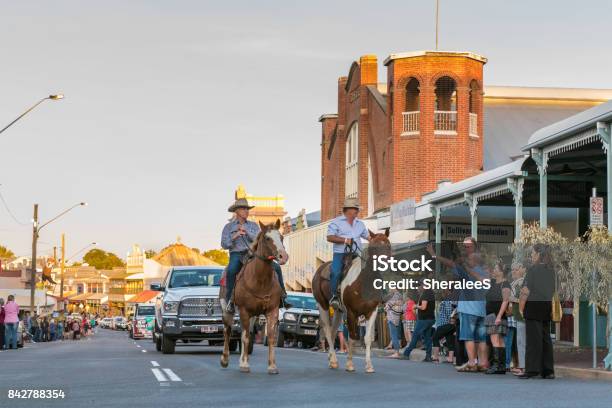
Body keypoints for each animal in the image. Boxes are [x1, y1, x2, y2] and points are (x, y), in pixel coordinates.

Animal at [219, 218, 288, 374]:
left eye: (281, 237)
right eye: (267, 238)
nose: (283, 256)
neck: (260, 280)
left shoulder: (272, 311)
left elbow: (270, 338)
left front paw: (272, 366)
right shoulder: (244, 311)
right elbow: (244, 337)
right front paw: (245, 365)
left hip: (253, 315)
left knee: (246, 333)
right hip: (228, 310)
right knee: (227, 330)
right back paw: (225, 359)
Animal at [314, 230, 390, 372]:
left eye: (388, 245)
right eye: (373, 247)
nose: (384, 263)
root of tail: (320, 268)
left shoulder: (372, 312)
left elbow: (367, 339)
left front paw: (369, 365)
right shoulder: (351, 313)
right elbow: (352, 338)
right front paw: (350, 364)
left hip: (338, 311)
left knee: (333, 331)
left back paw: (331, 359)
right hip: (323, 305)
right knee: (327, 330)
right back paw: (333, 360)